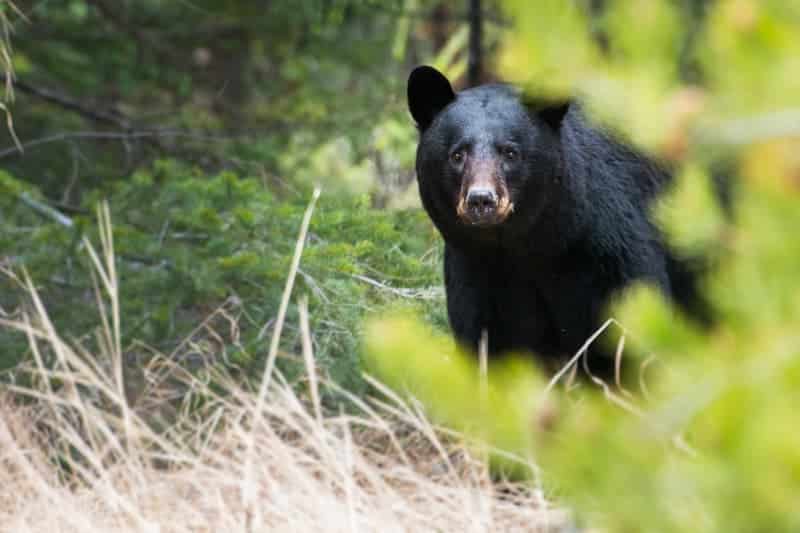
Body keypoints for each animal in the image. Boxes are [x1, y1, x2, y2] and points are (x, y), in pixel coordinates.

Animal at [407, 65, 709, 379]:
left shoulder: (608, 248)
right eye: (457, 154)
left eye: (510, 152)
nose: (481, 200)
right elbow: (489, 341)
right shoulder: (476, 270)